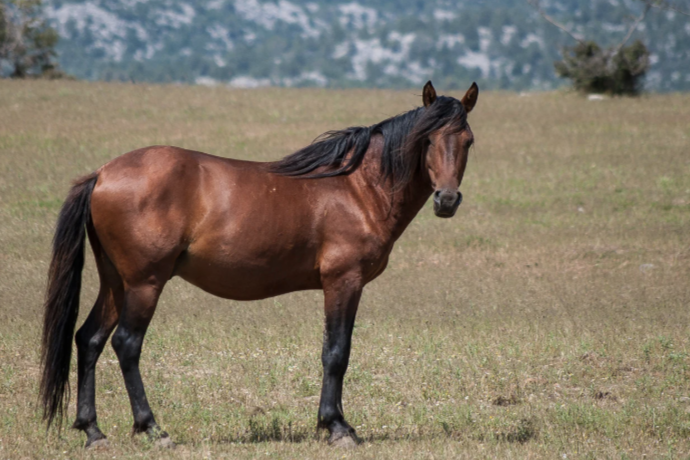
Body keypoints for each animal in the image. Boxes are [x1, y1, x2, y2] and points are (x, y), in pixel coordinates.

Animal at [40, 81, 478, 449]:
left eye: (468, 140)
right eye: (427, 139)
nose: (446, 199)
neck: (357, 187)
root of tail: (102, 173)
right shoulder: (344, 282)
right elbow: (337, 352)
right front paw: (337, 427)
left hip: (116, 282)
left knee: (90, 339)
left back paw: (93, 431)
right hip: (145, 283)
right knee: (126, 344)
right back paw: (152, 429)